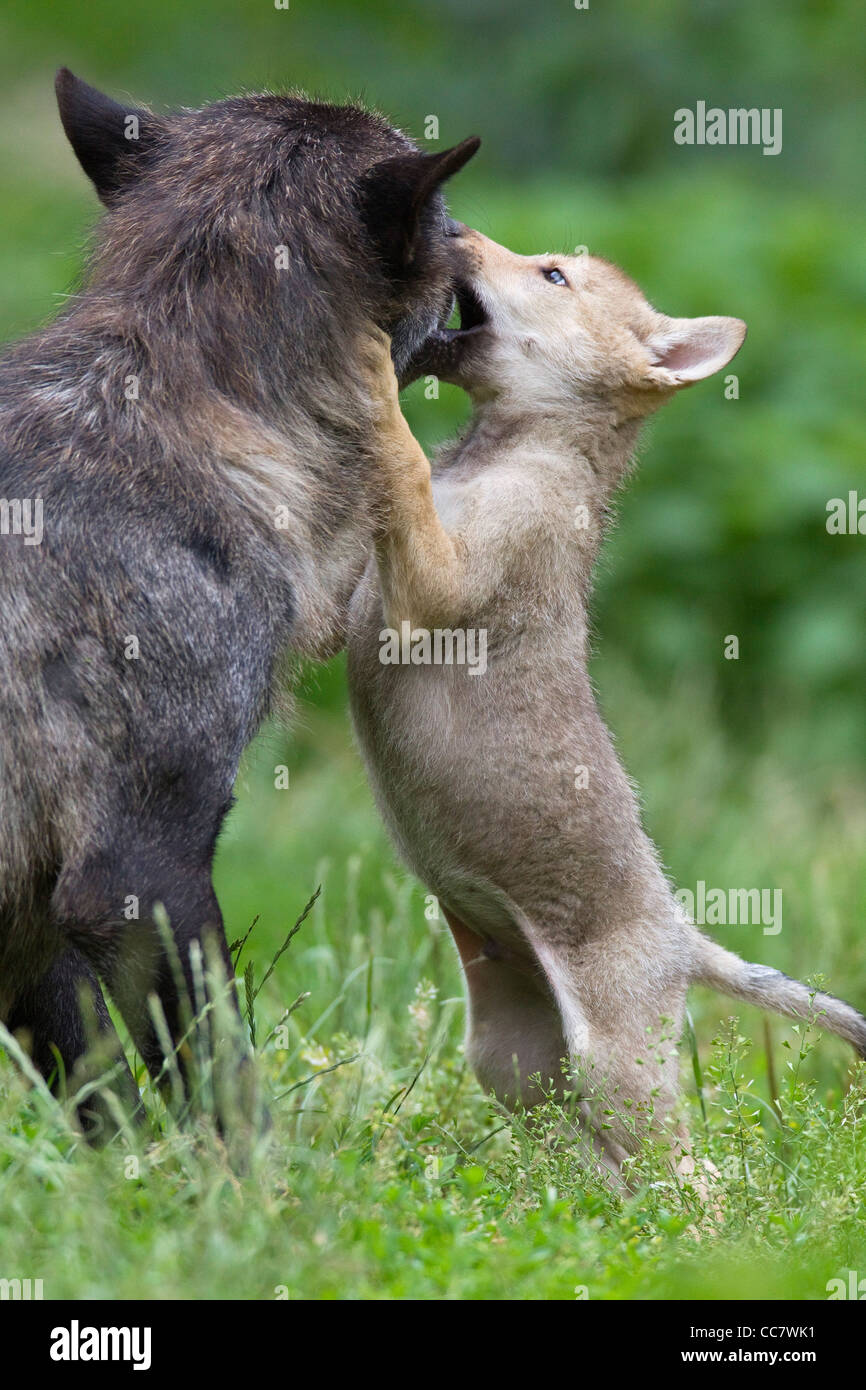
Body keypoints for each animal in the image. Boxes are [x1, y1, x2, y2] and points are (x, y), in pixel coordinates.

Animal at [0, 70, 480, 1123]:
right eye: (448, 223)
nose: (483, 249)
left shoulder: (38, 923)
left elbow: (103, 1106)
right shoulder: (137, 871)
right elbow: (220, 1085)